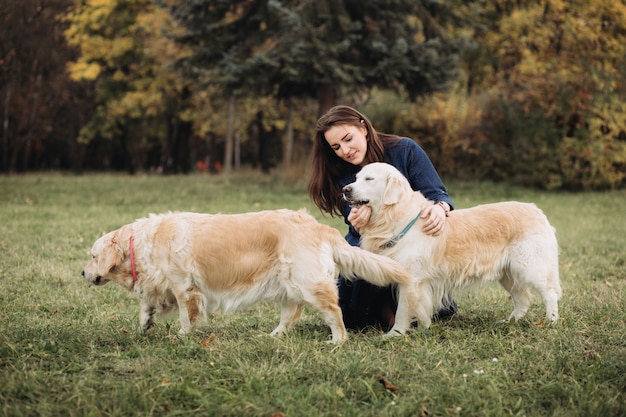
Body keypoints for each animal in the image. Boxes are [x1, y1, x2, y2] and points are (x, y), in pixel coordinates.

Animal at [81, 208, 410, 342]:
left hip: (307, 282)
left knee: (333, 310)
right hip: (290, 285)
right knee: (290, 315)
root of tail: (316, 225)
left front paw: (182, 335)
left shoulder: (185, 287)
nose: (83, 272)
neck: (142, 243)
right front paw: (144, 323)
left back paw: (338, 341)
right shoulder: (163, 284)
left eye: (93, 256)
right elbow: (147, 302)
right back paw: (273, 336)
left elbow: (186, 316)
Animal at [342, 161, 560, 336]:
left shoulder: (411, 280)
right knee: (523, 299)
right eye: (356, 178)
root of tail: (536, 210)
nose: (345, 189)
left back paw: (551, 321)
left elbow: (403, 311)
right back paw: (509, 322)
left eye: (369, 179)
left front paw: (394, 334)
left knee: (550, 294)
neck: (395, 216)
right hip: (507, 272)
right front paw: (423, 329)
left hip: (531, 267)